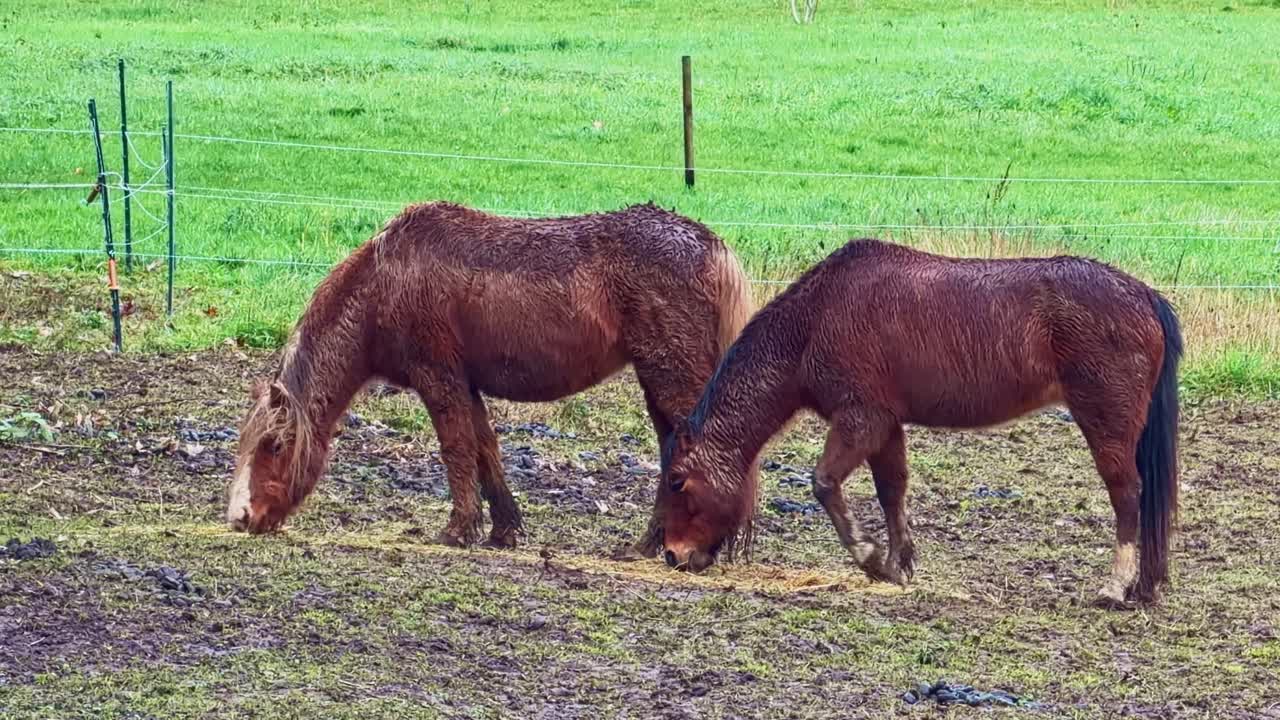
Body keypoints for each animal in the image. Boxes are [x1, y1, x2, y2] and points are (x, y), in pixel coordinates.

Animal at [225, 200, 752, 555]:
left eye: (275, 445)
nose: (239, 518)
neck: (383, 282)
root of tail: (711, 245)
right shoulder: (467, 384)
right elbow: (485, 451)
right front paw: (504, 529)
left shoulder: (439, 379)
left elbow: (457, 449)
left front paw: (458, 530)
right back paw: (649, 544)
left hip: (670, 378)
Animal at [659, 238, 1182, 606]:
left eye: (678, 481)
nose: (672, 555)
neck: (815, 319)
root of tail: (1143, 295)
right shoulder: (886, 426)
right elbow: (893, 492)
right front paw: (899, 564)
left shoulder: (861, 421)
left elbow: (825, 484)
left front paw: (871, 559)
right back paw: (1145, 585)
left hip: (1105, 423)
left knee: (1128, 495)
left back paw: (1116, 586)